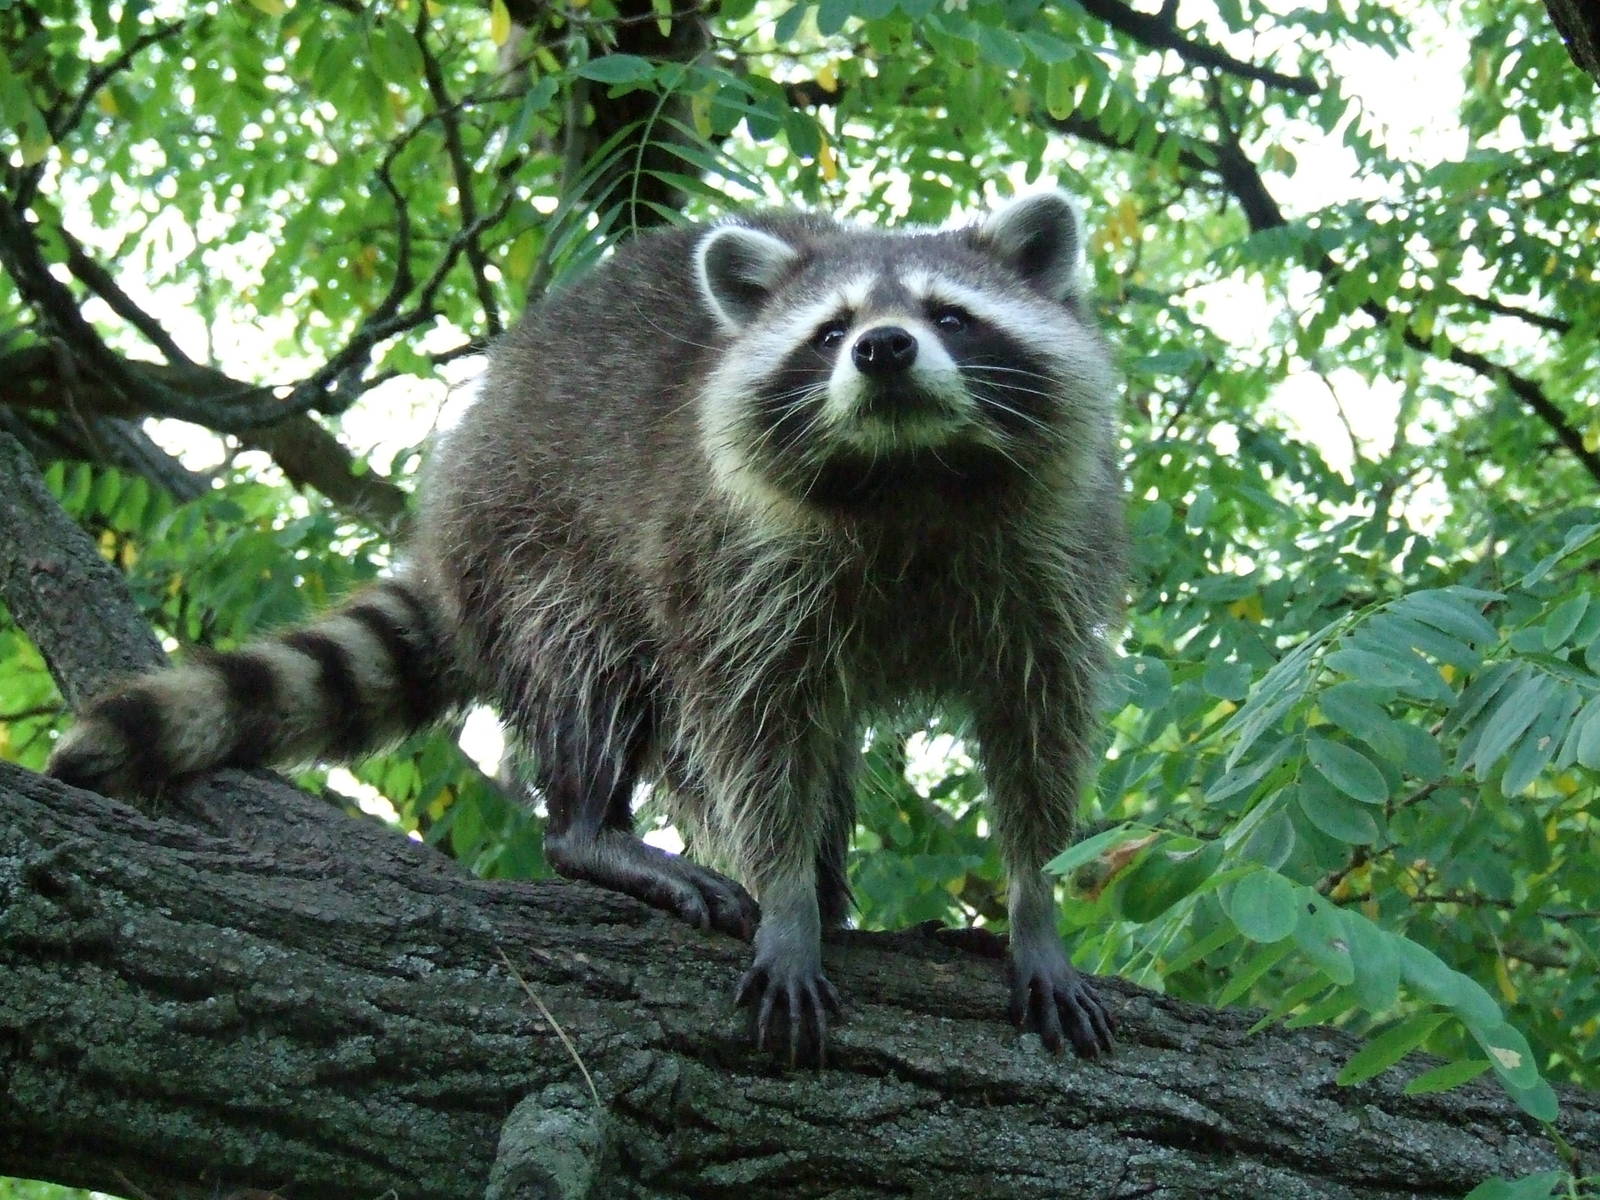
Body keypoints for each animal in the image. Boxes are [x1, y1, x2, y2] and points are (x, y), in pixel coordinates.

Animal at [49, 190, 1124, 1065]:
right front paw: (783, 900)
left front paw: (1033, 906)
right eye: (830, 331)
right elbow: (755, 735)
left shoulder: (1050, 562)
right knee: (594, 674)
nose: (884, 348)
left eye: (950, 315)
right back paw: (592, 828)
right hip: (540, 542)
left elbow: (1037, 728)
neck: (905, 470)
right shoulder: (734, 566)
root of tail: (448, 519)